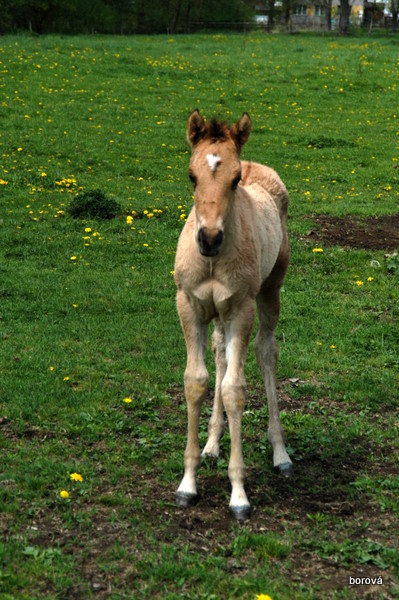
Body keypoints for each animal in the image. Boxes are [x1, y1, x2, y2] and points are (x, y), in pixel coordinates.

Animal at [175, 109, 294, 520]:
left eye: (235, 178)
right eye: (191, 175)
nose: (209, 239)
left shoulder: (241, 308)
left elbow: (234, 389)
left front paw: (239, 494)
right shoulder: (189, 305)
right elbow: (196, 380)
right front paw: (188, 483)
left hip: (270, 290)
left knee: (266, 351)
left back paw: (281, 453)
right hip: (219, 315)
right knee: (220, 351)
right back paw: (212, 443)